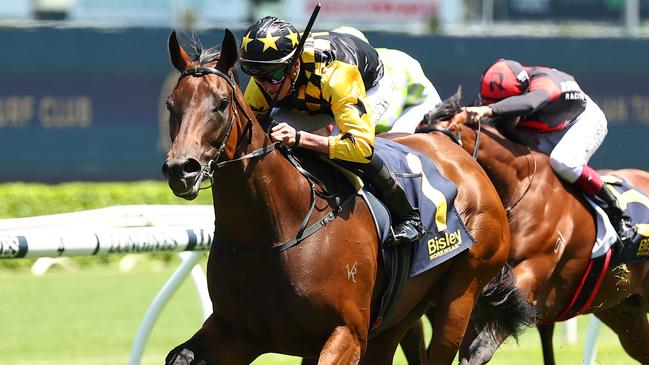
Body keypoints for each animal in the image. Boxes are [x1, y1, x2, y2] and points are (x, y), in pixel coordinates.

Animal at [161, 30, 532, 364]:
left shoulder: (347, 333)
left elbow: (358, 144)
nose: (182, 169)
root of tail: (456, 151)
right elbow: (179, 355)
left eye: (222, 104)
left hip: (460, 295)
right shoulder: (237, 332)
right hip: (397, 317)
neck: (273, 231)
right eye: (171, 105)